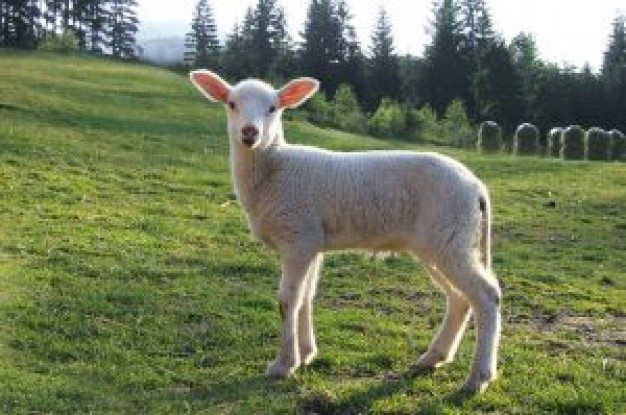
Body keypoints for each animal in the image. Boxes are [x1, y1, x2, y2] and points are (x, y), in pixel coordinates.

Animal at [188, 70, 500, 394]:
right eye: (231, 104)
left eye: (273, 108)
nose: (250, 133)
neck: (276, 168)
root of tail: (477, 188)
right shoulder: (311, 241)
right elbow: (306, 297)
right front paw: (307, 353)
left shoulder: (297, 238)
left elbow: (288, 301)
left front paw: (284, 364)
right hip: (442, 243)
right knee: (460, 299)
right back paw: (434, 357)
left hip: (451, 236)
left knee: (487, 296)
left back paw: (478, 378)